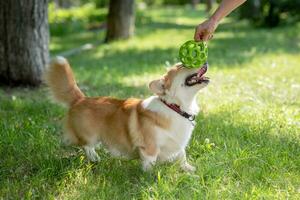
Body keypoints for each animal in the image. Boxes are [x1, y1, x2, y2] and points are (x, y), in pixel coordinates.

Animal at [45, 56, 209, 172]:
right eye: (182, 66)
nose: (206, 61)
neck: (175, 107)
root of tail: (80, 99)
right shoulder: (149, 148)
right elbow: (150, 163)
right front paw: (151, 176)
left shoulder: (178, 144)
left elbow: (182, 156)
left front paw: (190, 170)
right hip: (89, 136)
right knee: (86, 146)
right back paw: (95, 158)